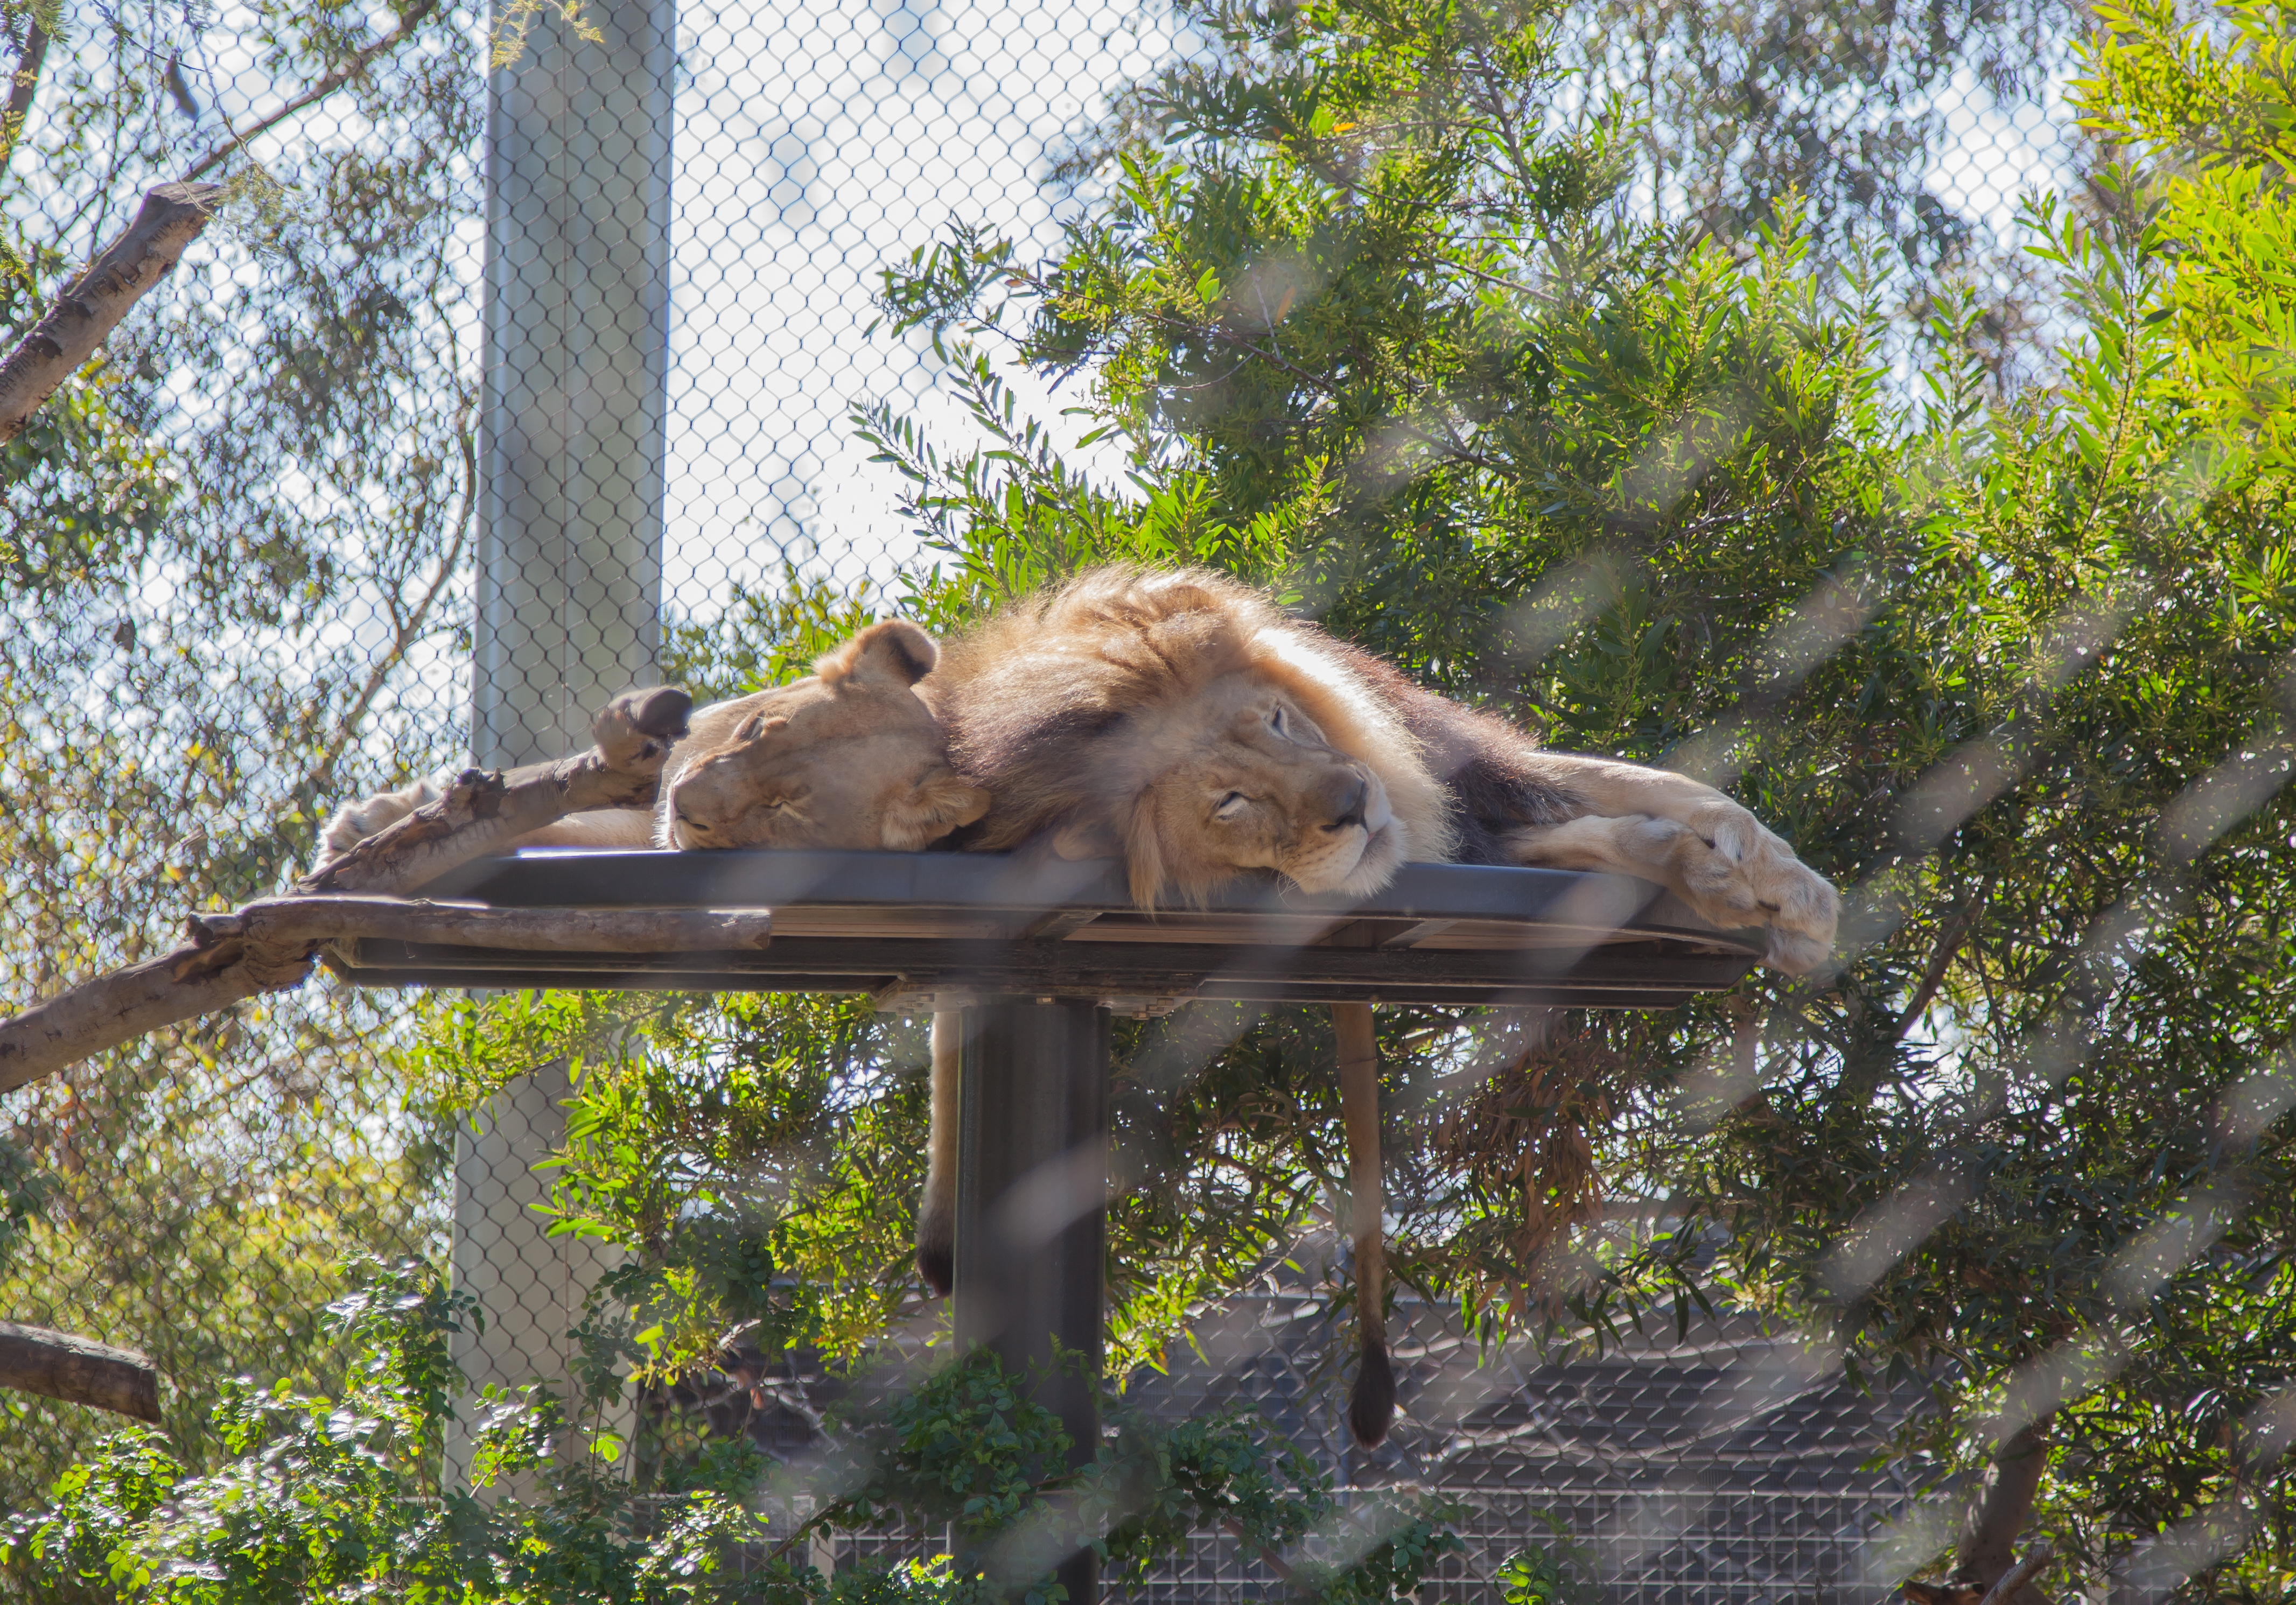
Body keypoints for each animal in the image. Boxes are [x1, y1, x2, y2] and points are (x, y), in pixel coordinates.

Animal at [914, 567, 1846, 1460]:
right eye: (1230, 803)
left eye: (1278, 721)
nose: (1353, 801)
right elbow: (1617, 835)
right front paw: (1710, 875)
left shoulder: (1467, 777)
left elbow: (1648, 787)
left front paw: (1788, 888)